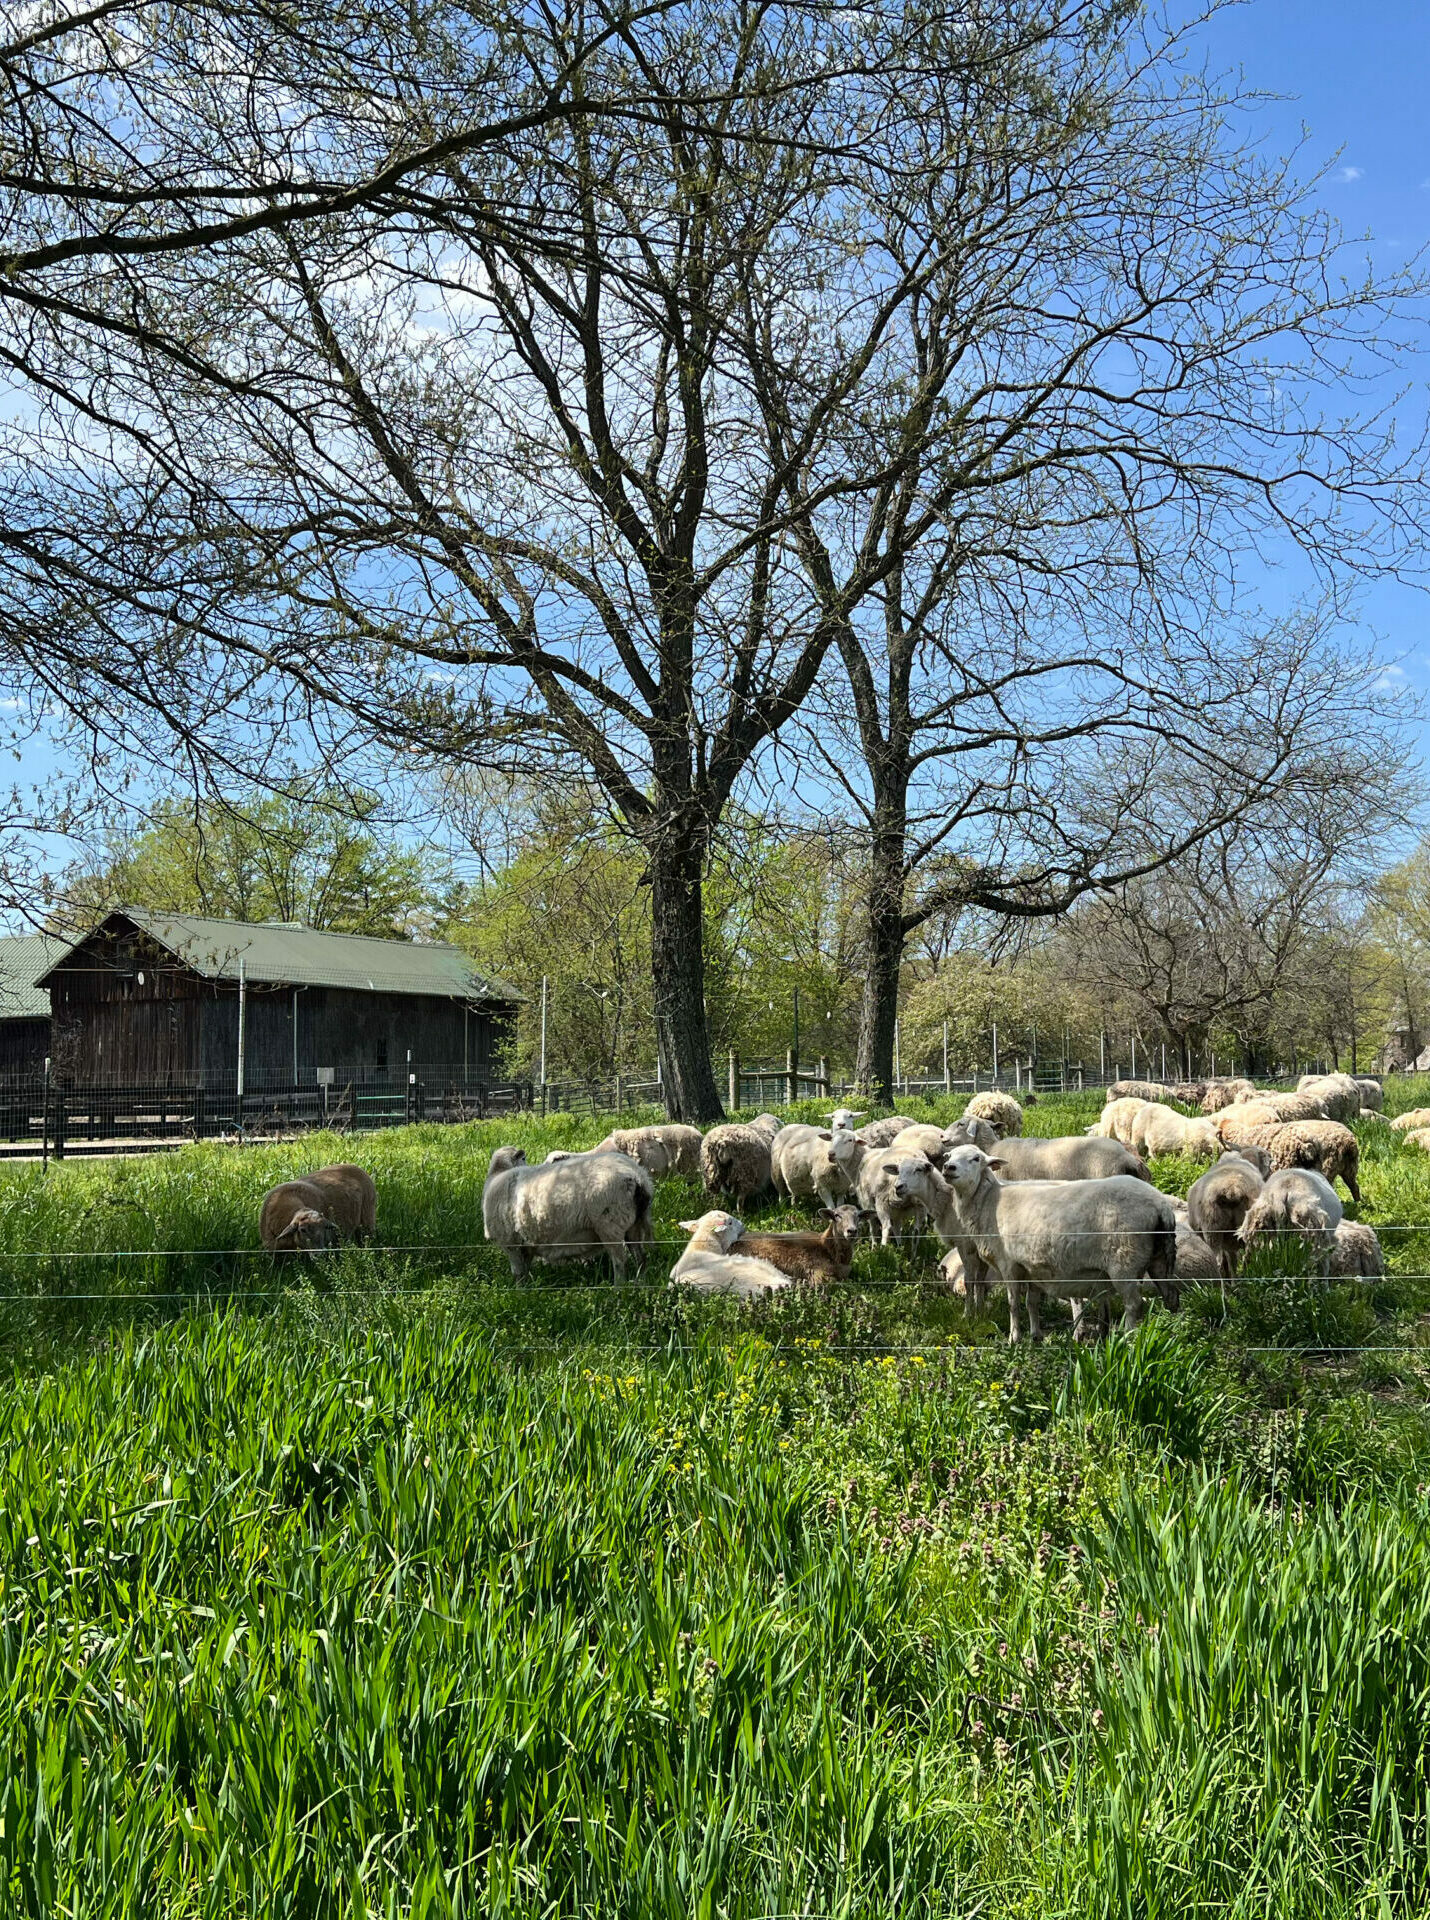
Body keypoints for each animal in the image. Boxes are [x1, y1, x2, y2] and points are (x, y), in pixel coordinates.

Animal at [481, 1144, 656, 1282]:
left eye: (524, 1158)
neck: (497, 1176)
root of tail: (637, 1176)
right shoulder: (525, 1244)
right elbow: (524, 1271)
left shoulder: (510, 1242)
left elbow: (518, 1273)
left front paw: (520, 1294)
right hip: (633, 1224)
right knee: (640, 1258)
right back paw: (640, 1284)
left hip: (610, 1226)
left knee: (620, 1262)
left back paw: (618, 1290)